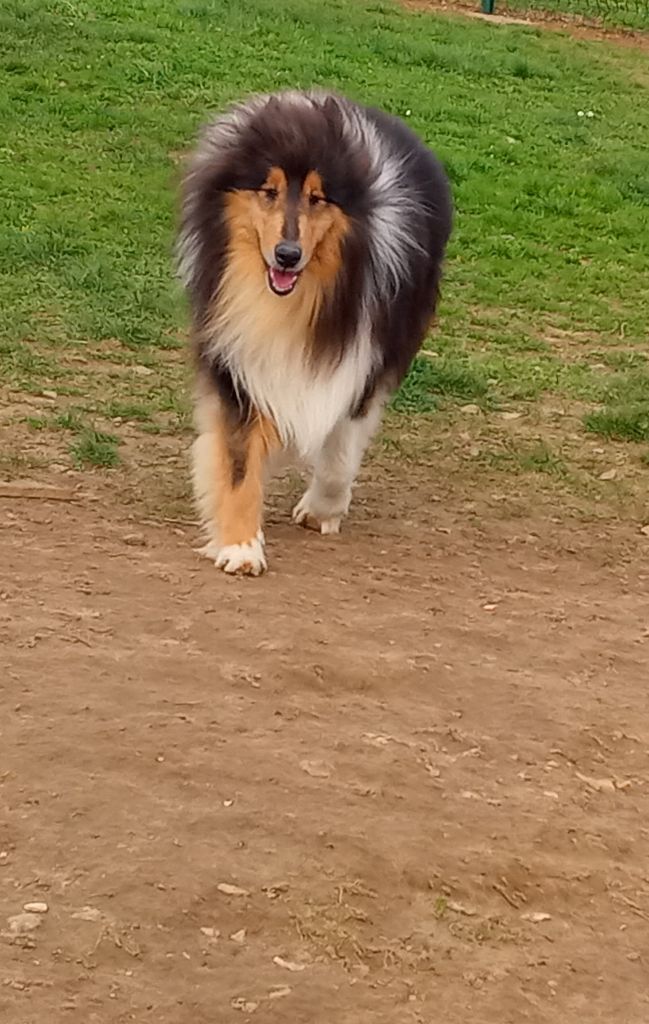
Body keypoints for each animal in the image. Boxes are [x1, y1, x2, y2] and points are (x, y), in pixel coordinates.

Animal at [177, 90, 452, 575]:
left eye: (318, 198)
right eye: (268, 192)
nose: (287, 255)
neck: (294, 301)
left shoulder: (363, 361)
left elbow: (340, 449)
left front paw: (322, 509)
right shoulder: (235, 357)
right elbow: (239, 461)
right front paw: (241, 545)